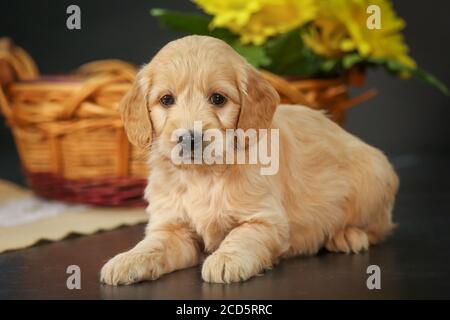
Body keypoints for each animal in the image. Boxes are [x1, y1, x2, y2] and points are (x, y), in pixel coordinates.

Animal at [99, 35, 398, 284]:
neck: (203, 174)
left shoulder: (267, 221)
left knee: (380, 228)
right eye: (166, 100)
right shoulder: (172, 227)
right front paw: (127, 260)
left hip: (372, 178)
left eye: (218, 98)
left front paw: (225, 260)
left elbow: (241, 236)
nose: (190, 138)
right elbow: (153, 245)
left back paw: (347, 235)